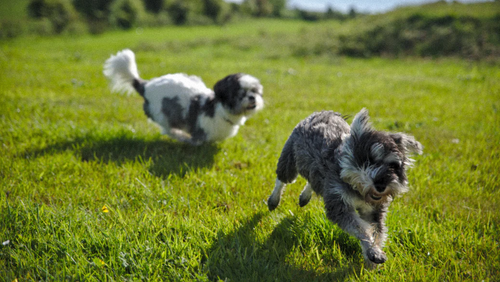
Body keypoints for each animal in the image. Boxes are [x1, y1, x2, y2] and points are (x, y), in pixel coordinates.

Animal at [103, 49, 264, 145]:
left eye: (254, 90)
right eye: (239, 94)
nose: (252, 97)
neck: (220, 111)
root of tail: (146, 86)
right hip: (162, 115)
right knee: (168, 130)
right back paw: (181, 136)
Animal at [270, 108, 422, 266]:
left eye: (393, 165)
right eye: (368, 160)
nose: (381, 185)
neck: (357, 189)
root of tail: (324, 112)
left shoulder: (373, 210)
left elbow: (377, 231)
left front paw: (372, 255)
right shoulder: (339, 205)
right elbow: (361, 228)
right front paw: (373, 253)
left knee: (312, 181)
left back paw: (304, 197)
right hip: (290, 161)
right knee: (282, 179)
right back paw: (273, 200)